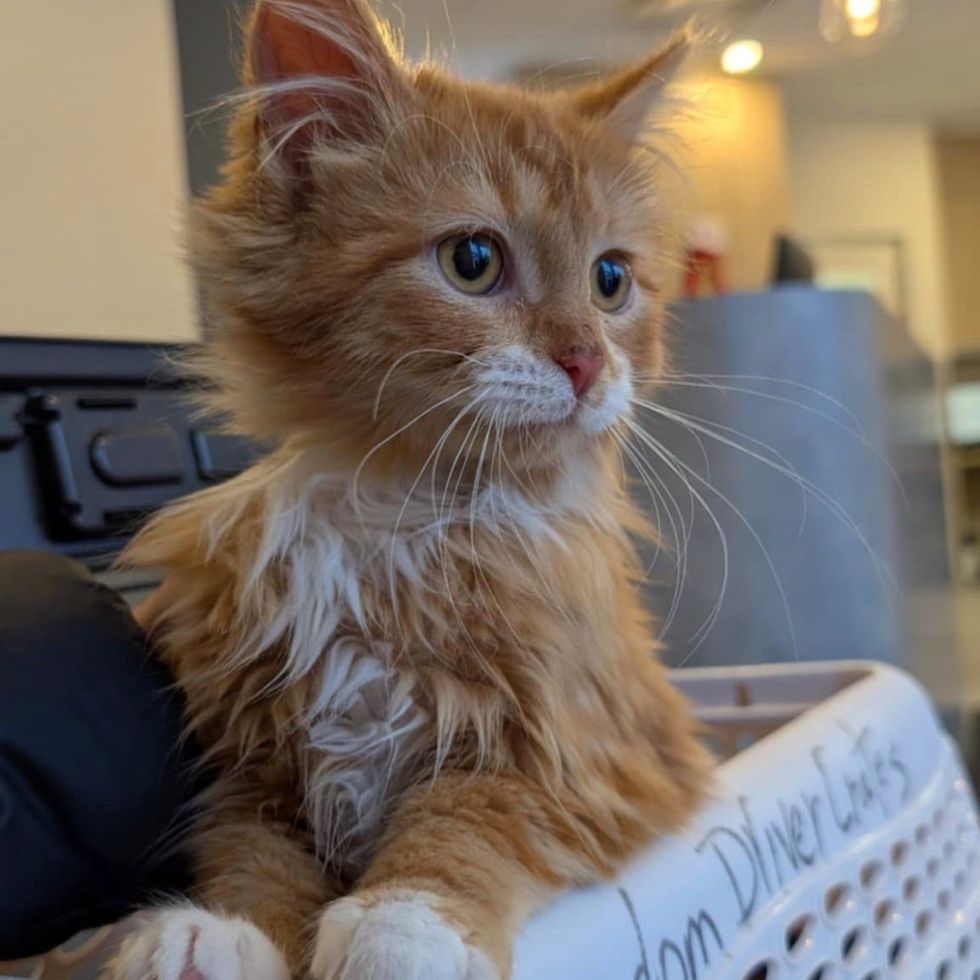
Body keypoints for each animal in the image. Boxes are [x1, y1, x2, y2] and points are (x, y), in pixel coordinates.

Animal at [111, 1, 712, 980]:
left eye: (611, 281)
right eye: (473, 260)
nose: (587, 361)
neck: (399, 516)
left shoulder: (599, 750)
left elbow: (473, 813)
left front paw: (403, 924)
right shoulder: (248, 762)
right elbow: (250, 854)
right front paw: (216, 932)